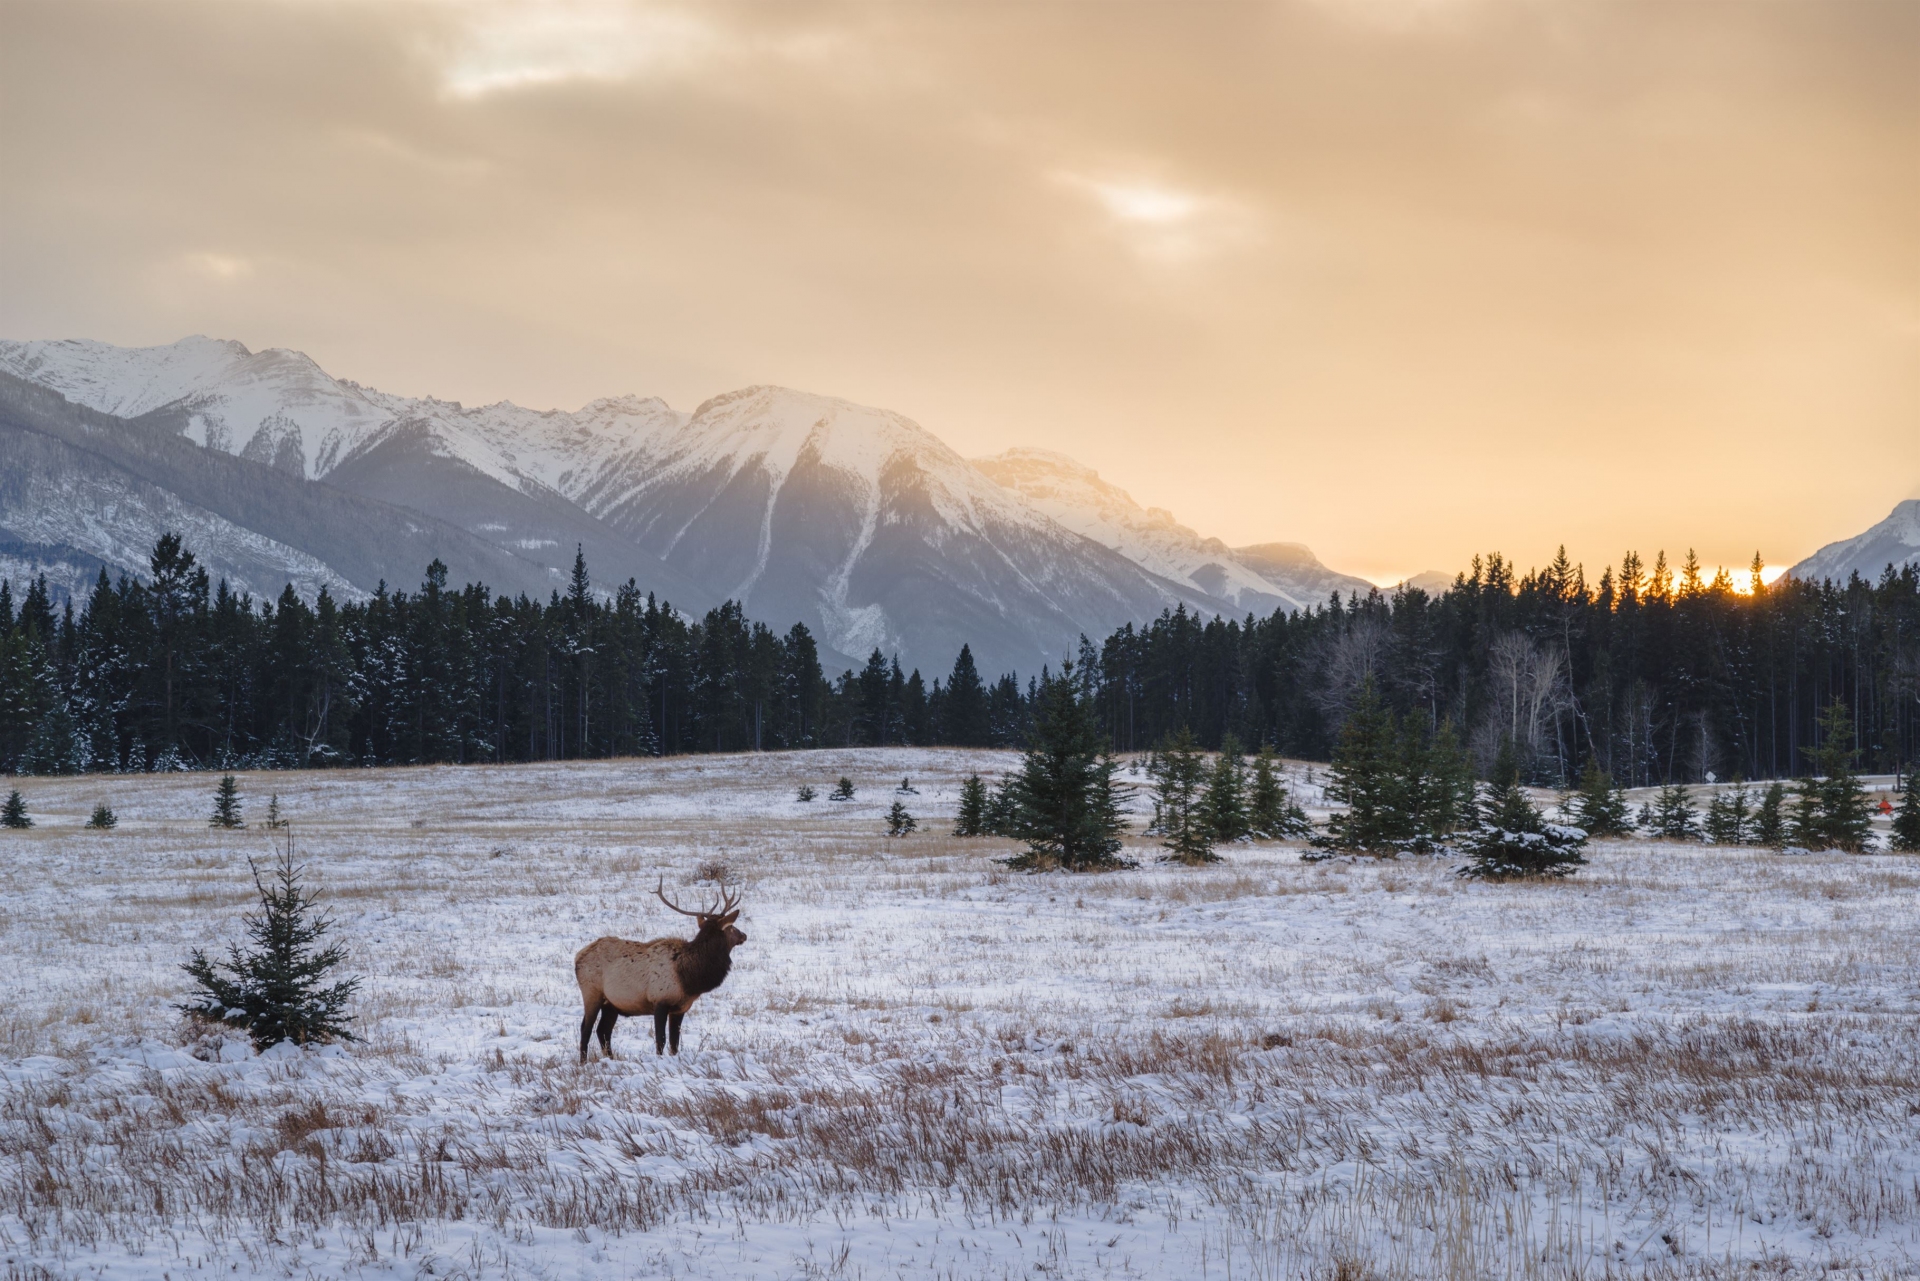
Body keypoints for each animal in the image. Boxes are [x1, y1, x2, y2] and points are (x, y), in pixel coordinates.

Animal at [572, 883, 744, 1060]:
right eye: (731, 927)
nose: (743, 935)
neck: (689, 978)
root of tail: (578, 957)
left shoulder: (680, 1008)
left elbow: (675, 1043)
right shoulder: (660, 1001)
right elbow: (660, 1040)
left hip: (611, 1003)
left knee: (603, 1030)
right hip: (592, 992)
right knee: (586, 1028)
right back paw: (583, 1062)